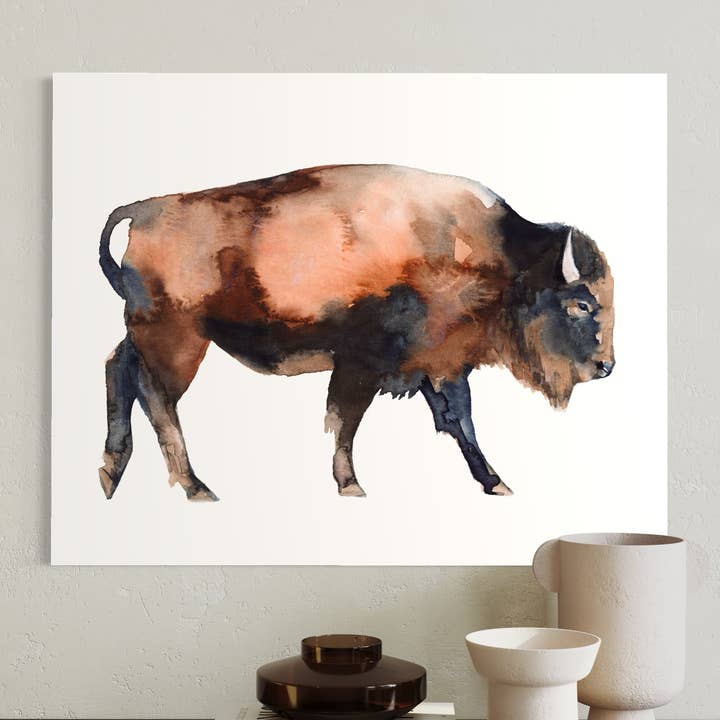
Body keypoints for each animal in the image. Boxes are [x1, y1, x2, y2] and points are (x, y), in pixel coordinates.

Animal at [98, 164, 614, 500]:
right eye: (582, 303)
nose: (606, 366)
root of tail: (145, 211)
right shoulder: (366, 364)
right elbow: (347, 420)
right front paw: (350, 485)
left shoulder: (438, 363)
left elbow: (458, 419)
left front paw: (495, 482)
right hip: (179, 341)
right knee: (156, 397)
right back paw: (195, 487)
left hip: (152, 336)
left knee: (118, 370)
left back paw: (112, 473)